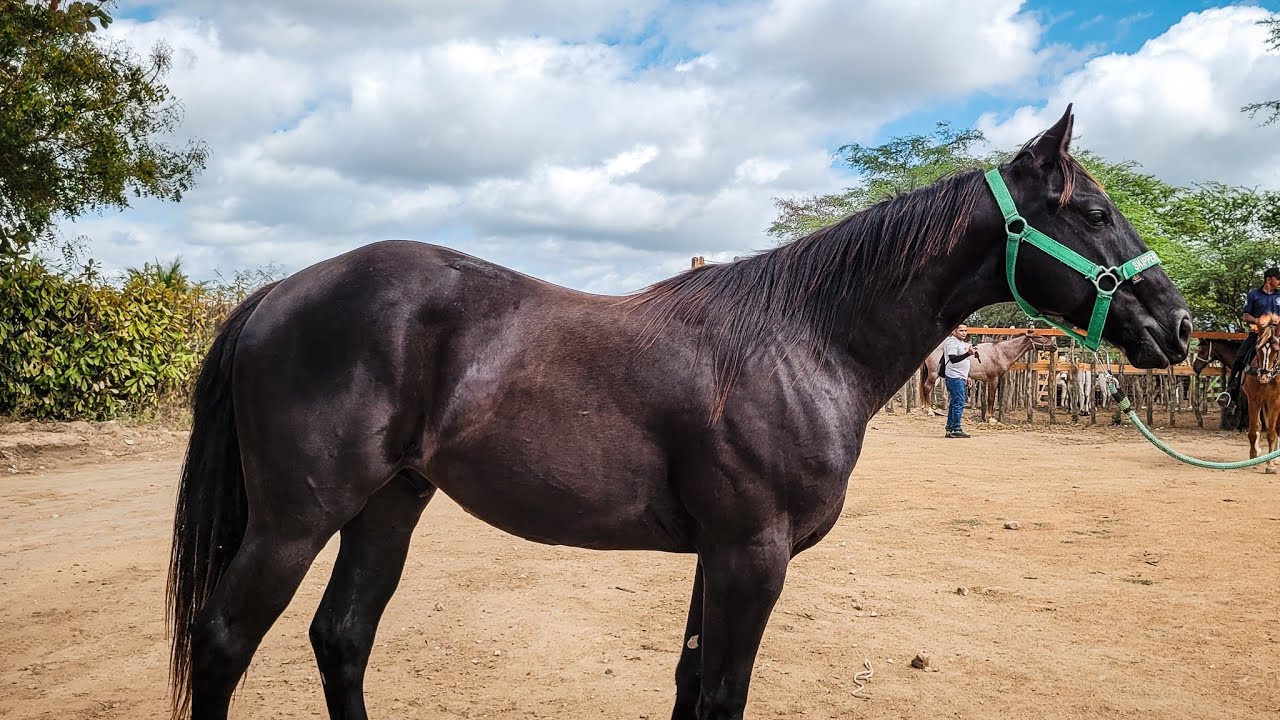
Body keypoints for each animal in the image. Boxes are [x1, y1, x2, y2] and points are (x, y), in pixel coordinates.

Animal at [918, 330, 1055, 422]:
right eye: (1039, 336)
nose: (1054, 345)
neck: (1001, 352)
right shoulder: (993, 379)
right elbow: (991, 399)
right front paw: (991, 419)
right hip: (933, 373)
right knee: (927, 388)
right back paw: (929, 411)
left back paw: (925, 408)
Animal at [1241, 317, 1280, 472]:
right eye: (1258, 349)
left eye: (1276, 350)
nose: (1263, 377)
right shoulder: (1254, 399)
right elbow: (1254, 429)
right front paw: (1254, 455)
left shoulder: (1275, 401)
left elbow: (1271, 433)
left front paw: (1270, 464)